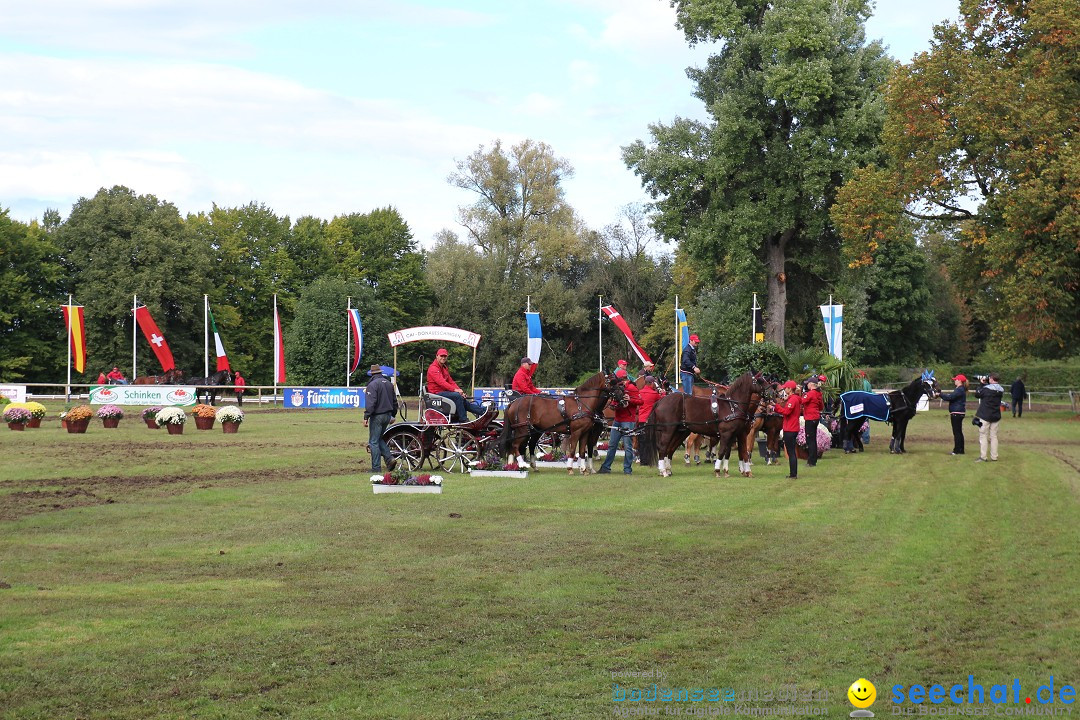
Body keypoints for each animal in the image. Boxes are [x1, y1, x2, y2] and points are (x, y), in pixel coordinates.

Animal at [496, 375, 626, 474]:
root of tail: (513, 403)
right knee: (515, 445)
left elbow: (582, 451)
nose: (624, 398)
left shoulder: (586, 432)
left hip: (535, 431)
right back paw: (522, 464)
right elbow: (573, 450)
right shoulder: (577, 432)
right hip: (522, 430)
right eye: (613, 382)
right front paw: (571, 468)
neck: (582, 403)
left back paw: (530, 465)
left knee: (530, 445)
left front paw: (584, 469)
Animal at [639, 371, 768, 479]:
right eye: (760, 381)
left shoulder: (738, 433)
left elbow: (740, 452)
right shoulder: (727, 433)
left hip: (679, 432)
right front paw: (718, 470)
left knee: (669, 449)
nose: (771, 393)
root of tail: (660, 401)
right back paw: (664, 471)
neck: (733, 406)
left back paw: (668, 469)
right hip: (668, 430)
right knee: (663, 448)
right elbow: (723, 451)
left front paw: (744, 471)